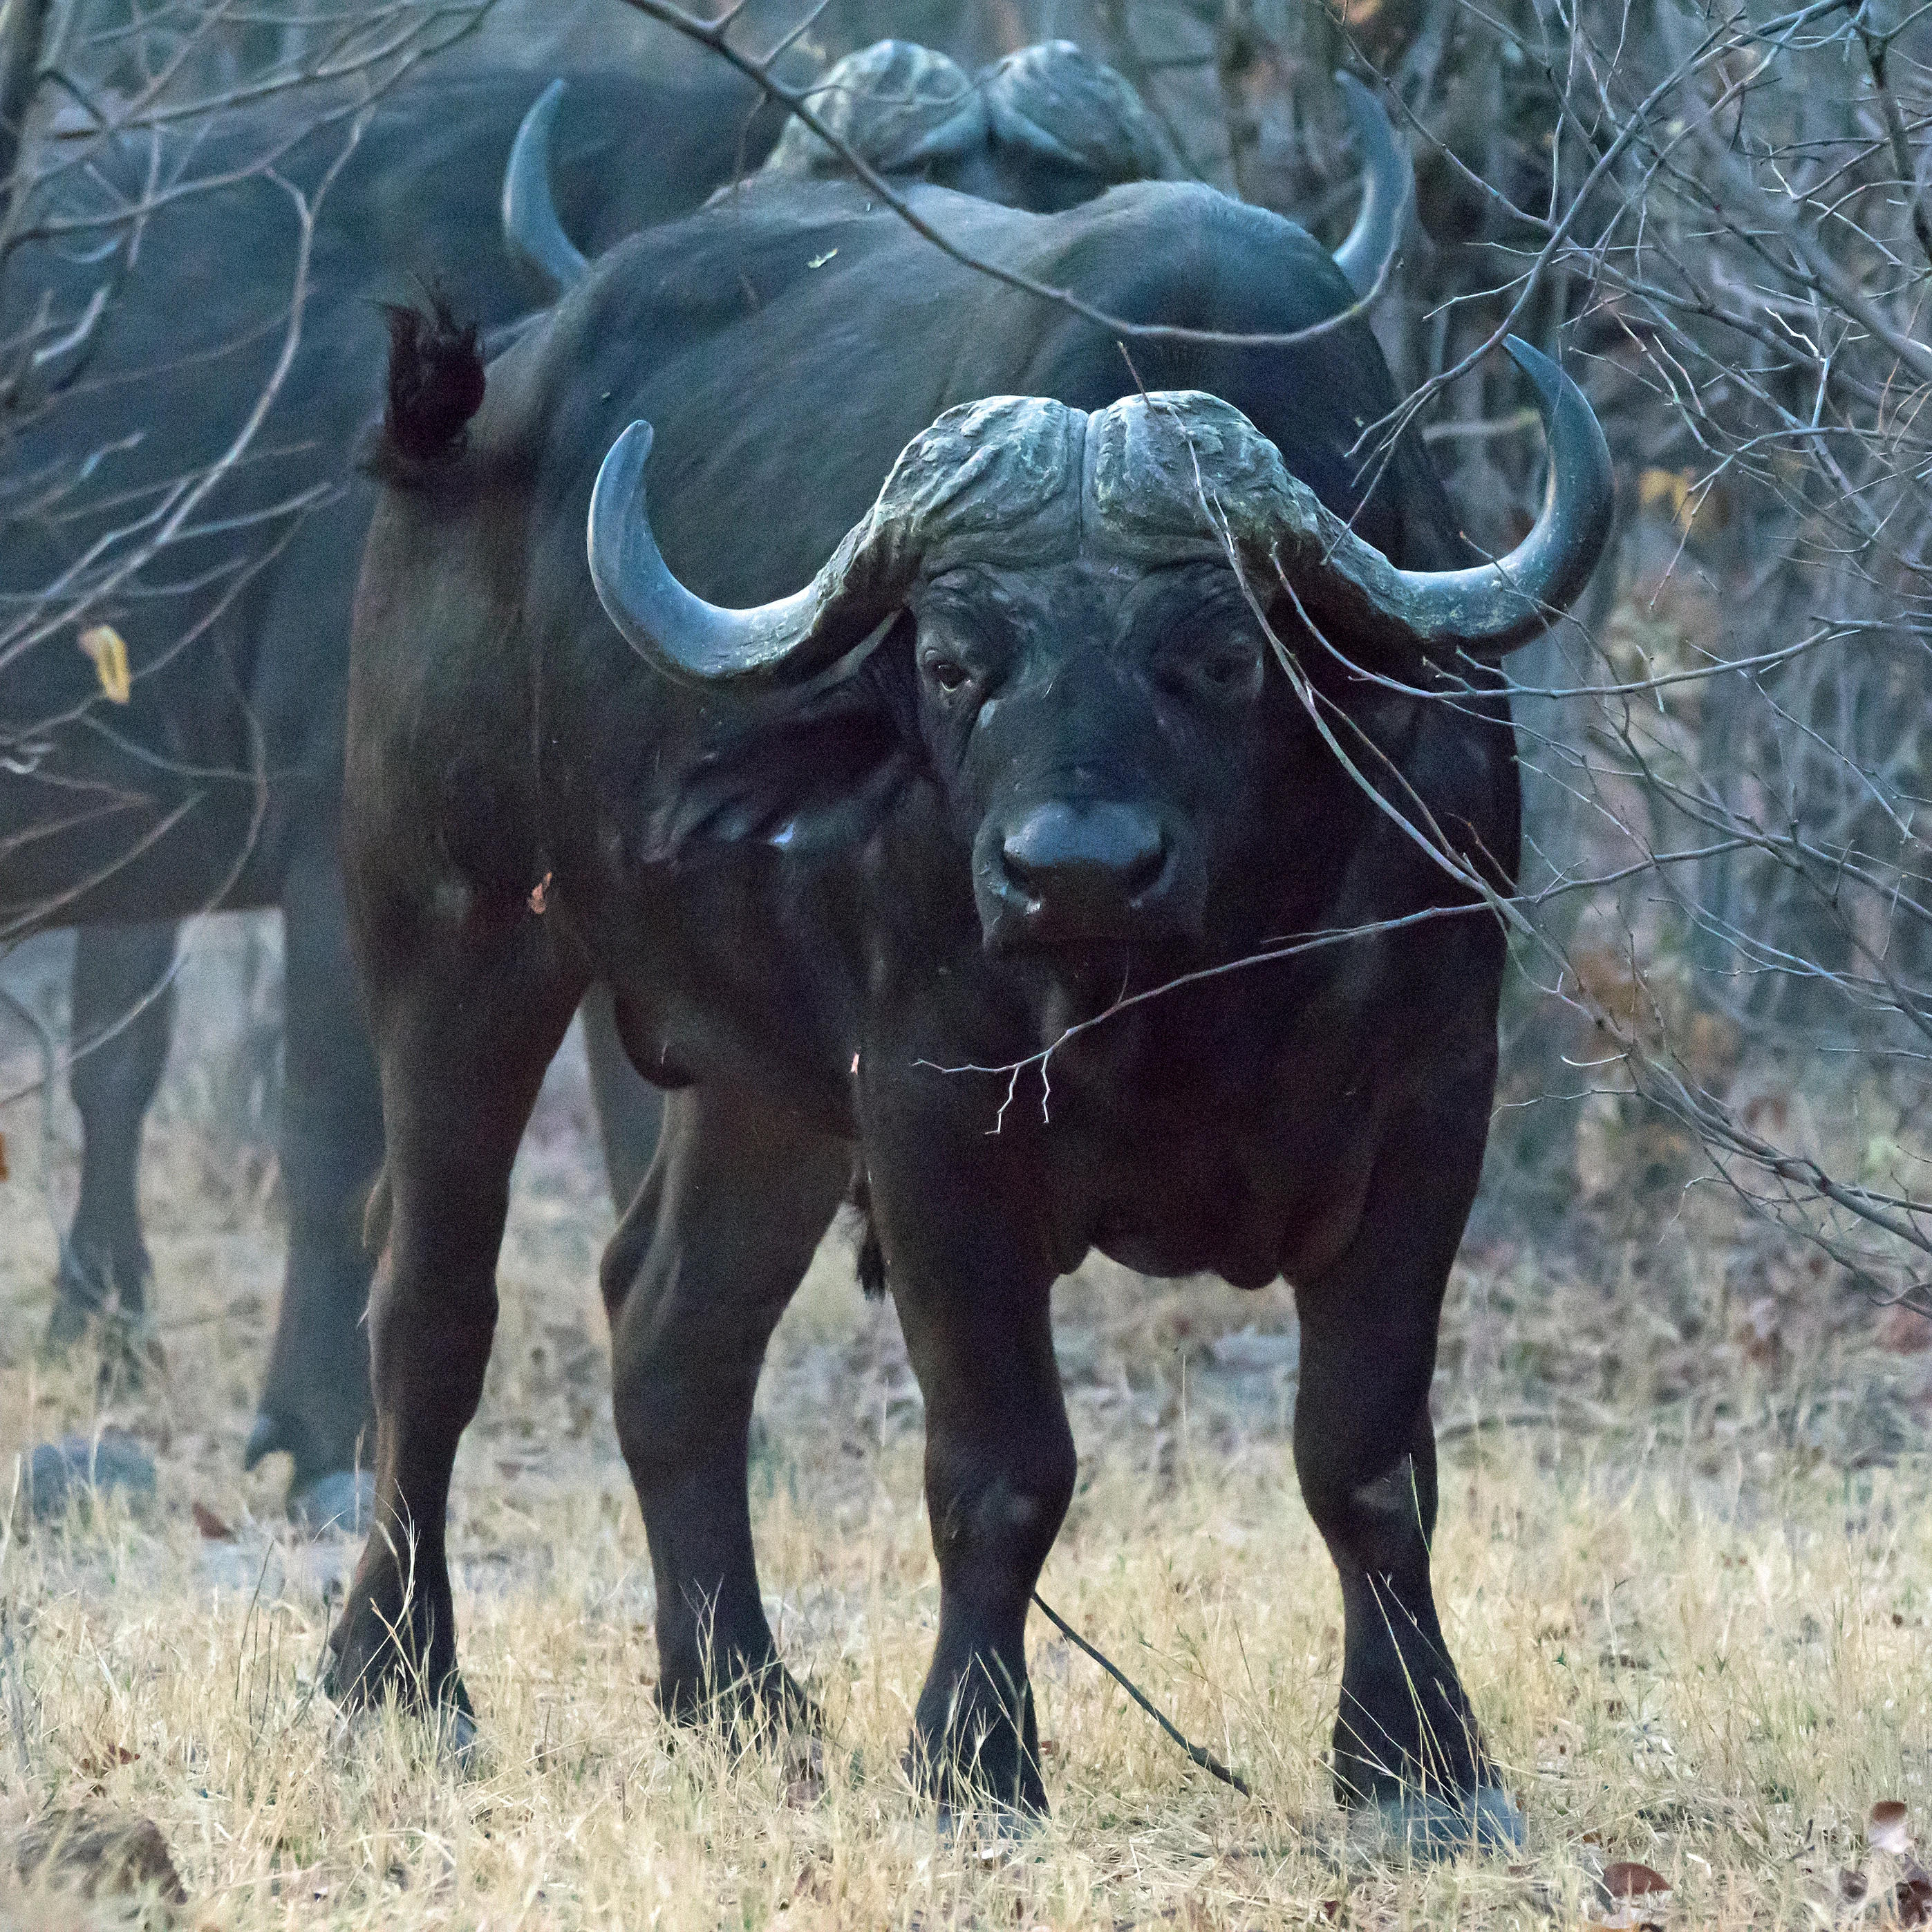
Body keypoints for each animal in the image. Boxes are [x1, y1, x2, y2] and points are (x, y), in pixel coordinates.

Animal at [333, 130, 1609, 1842]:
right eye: (951, 661)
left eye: (1221, 652)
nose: (1071, 866)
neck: (1185, 993)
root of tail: (467, 430)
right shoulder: (932, 1115)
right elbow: (1000, 1464)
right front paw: (974, 1757)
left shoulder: (1429, 1100)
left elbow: (1366, 1459)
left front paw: (1417, 1762)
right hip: (448, 937)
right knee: (429, 1306)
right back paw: (394, 1673)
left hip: (759, 1087)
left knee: (672, 1323)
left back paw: (736, 1696)